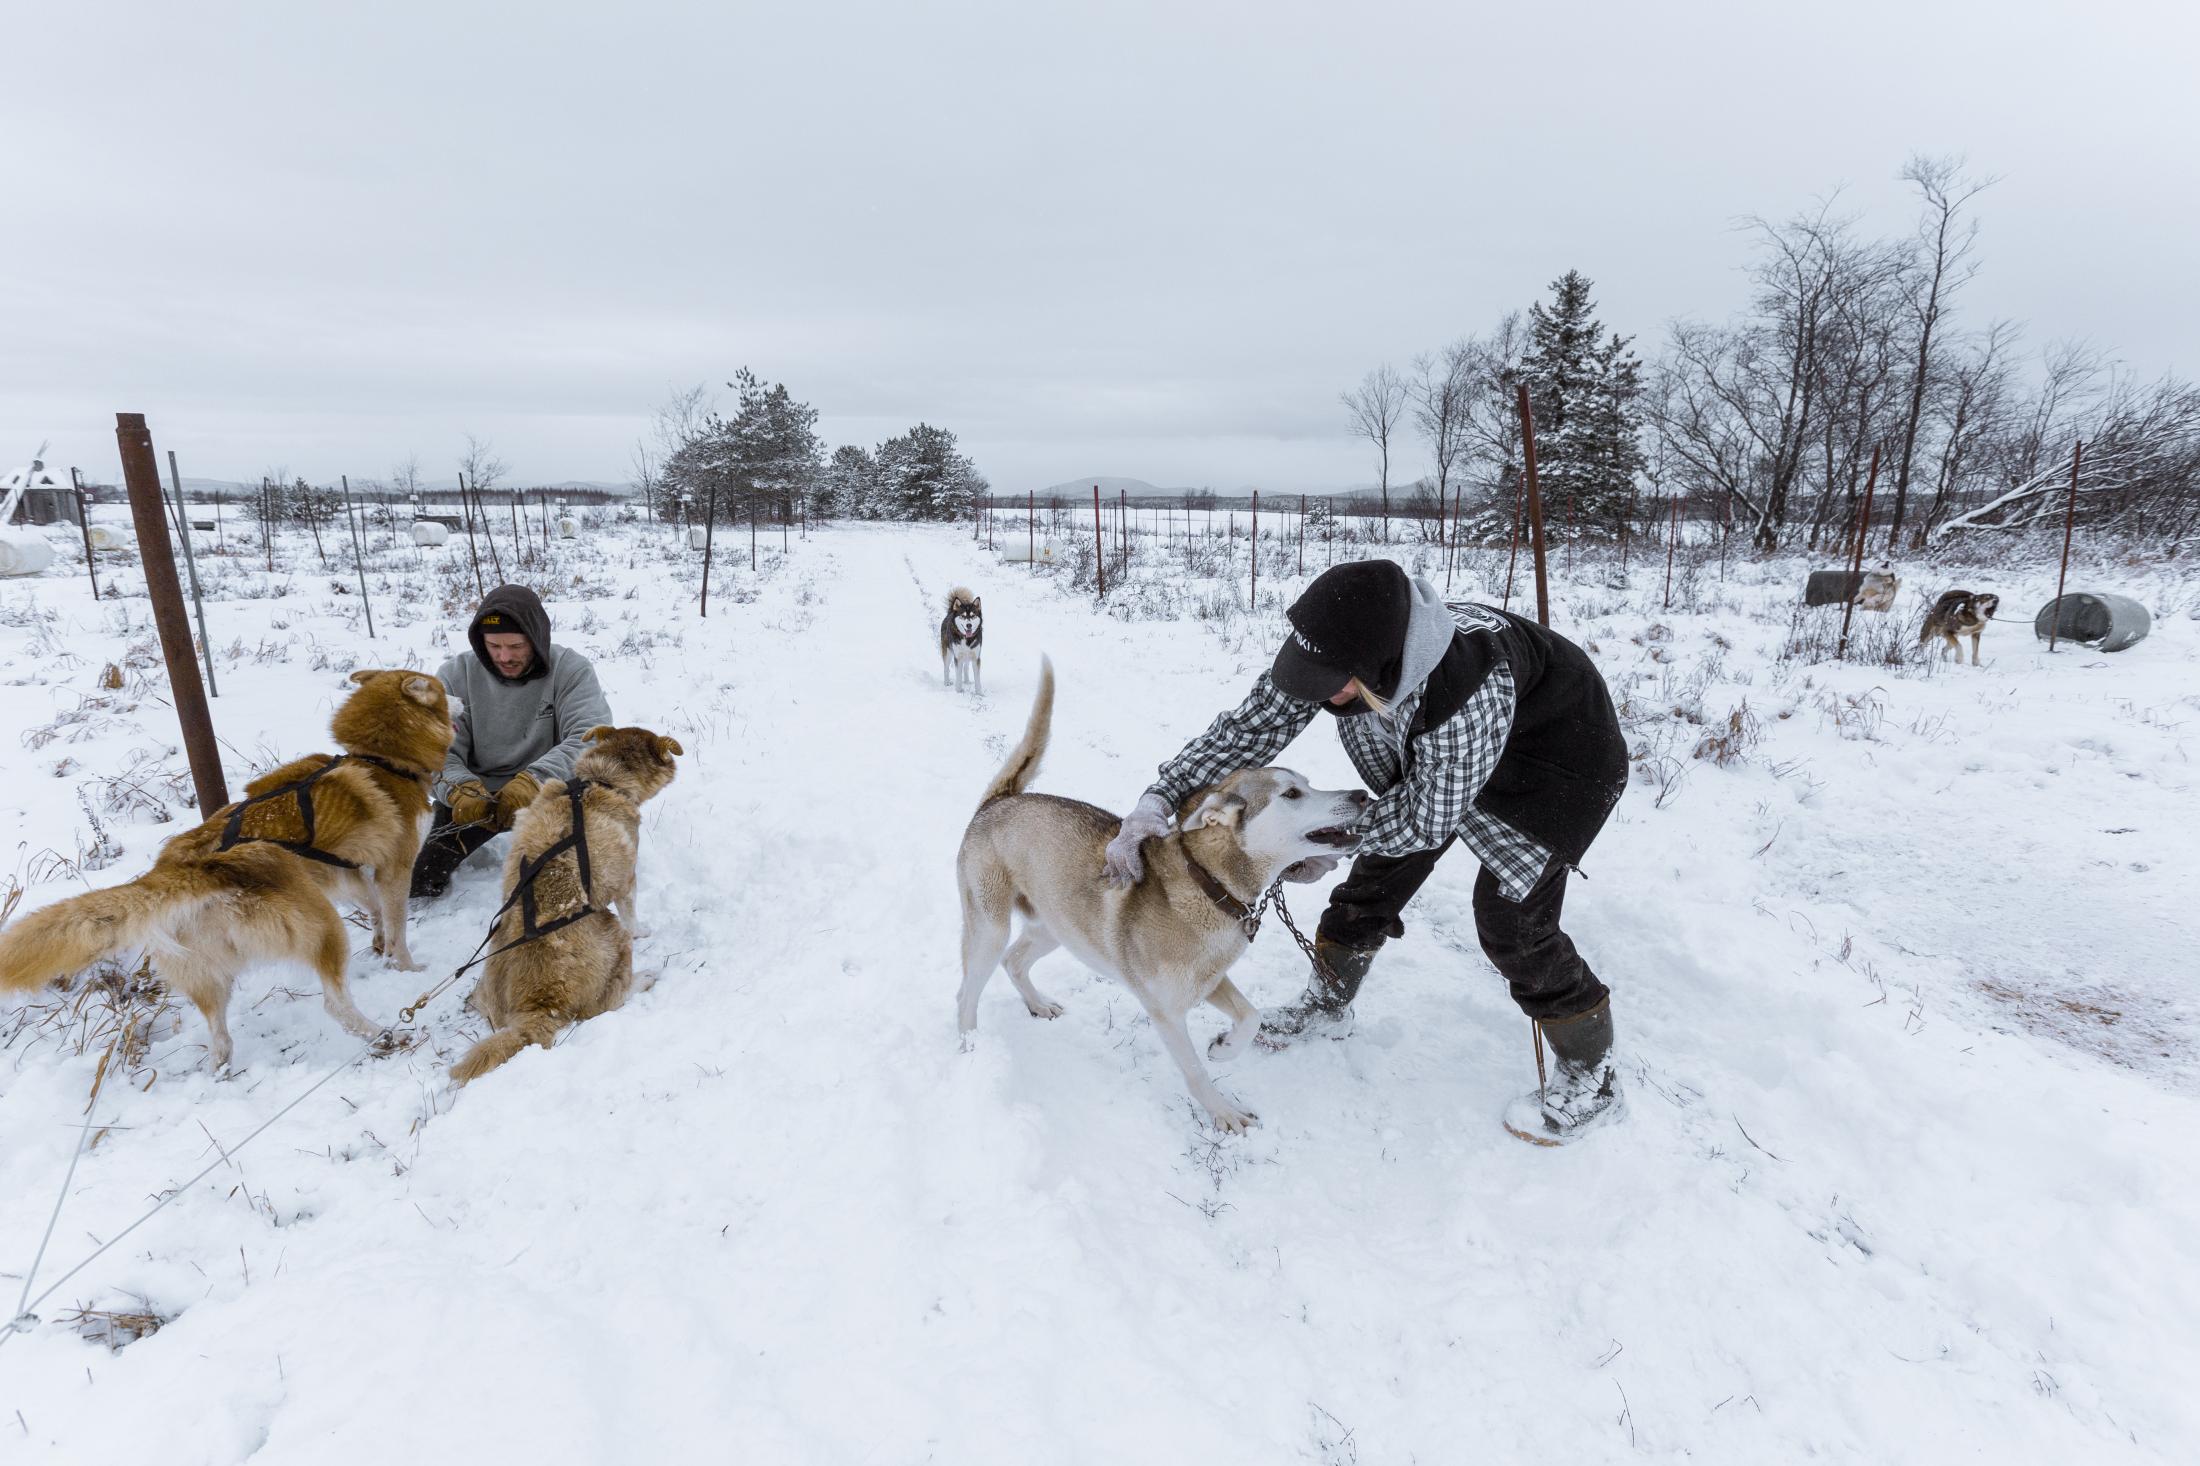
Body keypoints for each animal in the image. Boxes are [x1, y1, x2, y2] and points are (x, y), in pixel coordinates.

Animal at [451, 726, 682, 1078]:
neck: (599, 781)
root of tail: (537, 1007)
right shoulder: (626, 878)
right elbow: (631, 913)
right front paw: (642, 930)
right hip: (612, 935)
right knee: (603, 1005)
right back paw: (643, 978)